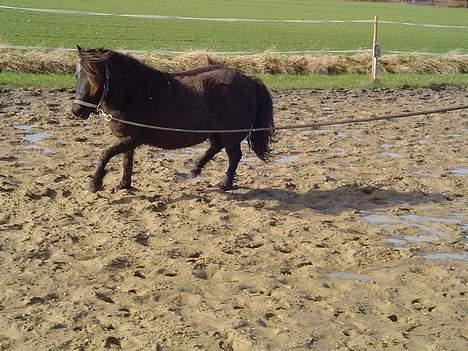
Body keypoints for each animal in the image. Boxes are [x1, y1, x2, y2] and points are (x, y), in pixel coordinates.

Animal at [72, 46, 274, 192]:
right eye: (77, 75)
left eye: (95, 78)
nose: (76, 110)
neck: (135, 93)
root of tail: (249, 80)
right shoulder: (126, 138)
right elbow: (126, 160)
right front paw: (124, 185)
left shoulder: (133, 138)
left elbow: (105, 154)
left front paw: (95, 183)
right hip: (216, 132)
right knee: (216, 147)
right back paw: (194, 170)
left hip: (230, 135)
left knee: (234, 156)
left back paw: (224, 183)